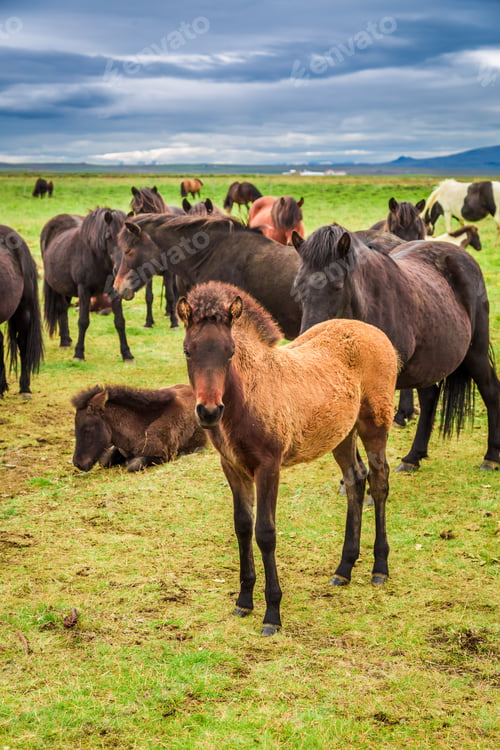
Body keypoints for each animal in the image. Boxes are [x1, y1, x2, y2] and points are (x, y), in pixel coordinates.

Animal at [41, 207, 134, 362]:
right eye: (108, 236)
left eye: (129, 237)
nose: (119, 269)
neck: (96, 258)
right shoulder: (84, 289)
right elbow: (83, 321)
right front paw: (79, 354)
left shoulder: (114, 291)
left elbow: (120, 321)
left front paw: (127, 354)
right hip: (57, 287)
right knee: (61, 309)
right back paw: (64, 341)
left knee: (64, 309)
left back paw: (67, 339)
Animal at [130, 186, 179, 328]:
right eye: (135, 210)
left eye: (152, 209)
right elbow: (149, 296)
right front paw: (148, 321)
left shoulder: (169, 272)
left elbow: (170, 295)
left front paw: (174, 322)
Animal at [177, 280, 398, 635]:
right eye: (188, 350)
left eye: (229, 351)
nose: (209, 411)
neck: (248, 396)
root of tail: (374, 332)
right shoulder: (233, 467)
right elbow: (242, 526)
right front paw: (244, 601)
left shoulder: (269, 466)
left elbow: (265, 533)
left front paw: (272, 613)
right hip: (341, 433)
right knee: (355, 479)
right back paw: (344, 568)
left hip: (374, 422)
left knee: (379, 481)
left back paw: (380, 567)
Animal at [292, 223, 500, 472]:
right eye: (299, 286)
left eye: (337, 286)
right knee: (429, 398)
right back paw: (413, 457)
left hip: (475, 353)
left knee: (490, 390)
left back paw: (491, 457)